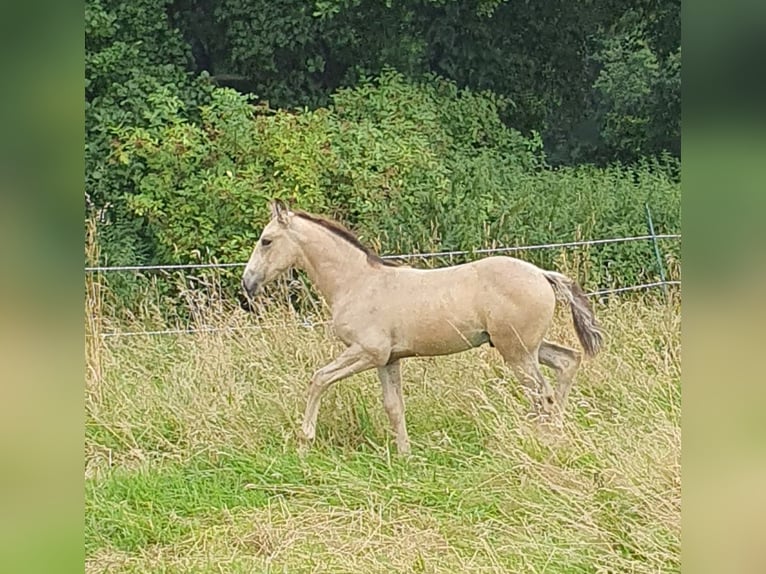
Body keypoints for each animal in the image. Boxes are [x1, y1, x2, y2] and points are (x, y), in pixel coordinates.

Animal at [243, 201, 604, 454]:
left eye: (266, 240)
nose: (248, 283)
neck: (357, 282)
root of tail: (541, 274)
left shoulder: (367, 352)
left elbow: (319, 379)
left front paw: (304, 441)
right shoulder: (388, 359)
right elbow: (393, 406)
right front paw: (405, 455)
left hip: (516, 352)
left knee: (542, 395)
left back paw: (543, 440)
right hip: (525, 347)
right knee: (567, 362)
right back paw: (556, 432)